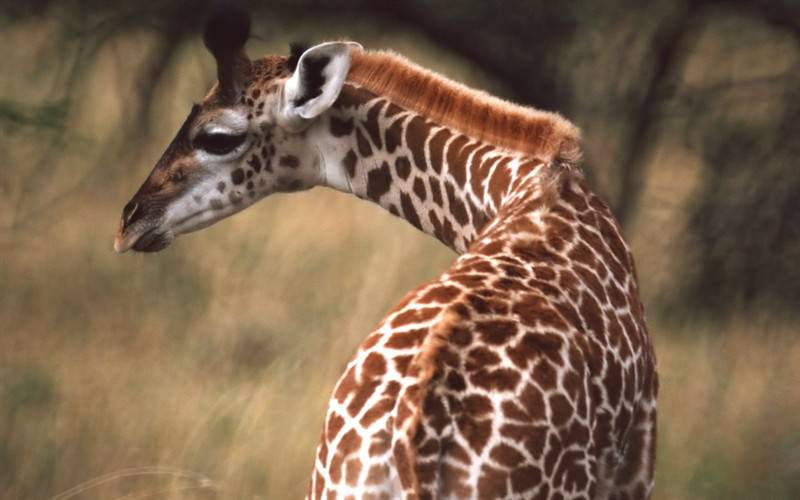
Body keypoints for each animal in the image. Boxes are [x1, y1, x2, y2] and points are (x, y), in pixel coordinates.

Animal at [114, 6, 656, 500]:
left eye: (218, 137)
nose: (129, 222)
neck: (522, 185)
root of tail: (412, 445)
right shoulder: (634, 467)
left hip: (330, 487)